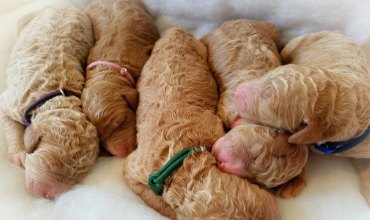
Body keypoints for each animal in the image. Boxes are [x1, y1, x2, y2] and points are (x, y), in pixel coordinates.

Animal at [0, 6, 99, 200]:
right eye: (50, 166)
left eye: (77, 177)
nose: (50, 196)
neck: (56, 95)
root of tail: (66, 5)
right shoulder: (12, 102)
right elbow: (10, 126)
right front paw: (18, 154)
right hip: (26, 20)